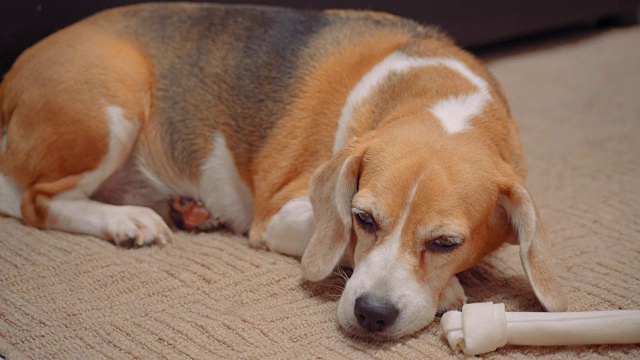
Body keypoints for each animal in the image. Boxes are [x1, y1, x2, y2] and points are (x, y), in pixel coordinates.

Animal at [1, 2, 568, 340]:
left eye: (446, 243)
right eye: (363, 219)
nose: (372, 314)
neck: (439, 97)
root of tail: (13, 71)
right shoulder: (278, 215)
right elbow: (334, 240)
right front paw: (449, 292)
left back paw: (185, 209)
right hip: (115, 96)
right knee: (35, 202)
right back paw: (128, 221)